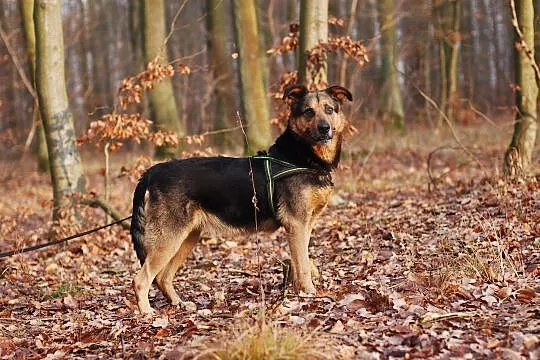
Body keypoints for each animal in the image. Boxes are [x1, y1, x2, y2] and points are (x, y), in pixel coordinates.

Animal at [129, 83, 352, 312]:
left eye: (329, 110)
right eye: (308, 112)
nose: (325, 128)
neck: (300, 157)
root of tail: (153, 171)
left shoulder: (305, 226)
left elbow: (302, 262)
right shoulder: (297, 225)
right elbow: (304, 265)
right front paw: (309, 293)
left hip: (186, 238)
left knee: (162, 277)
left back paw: (178, 303)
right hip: (169, 239)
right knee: (141, 279)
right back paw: (147, 312)